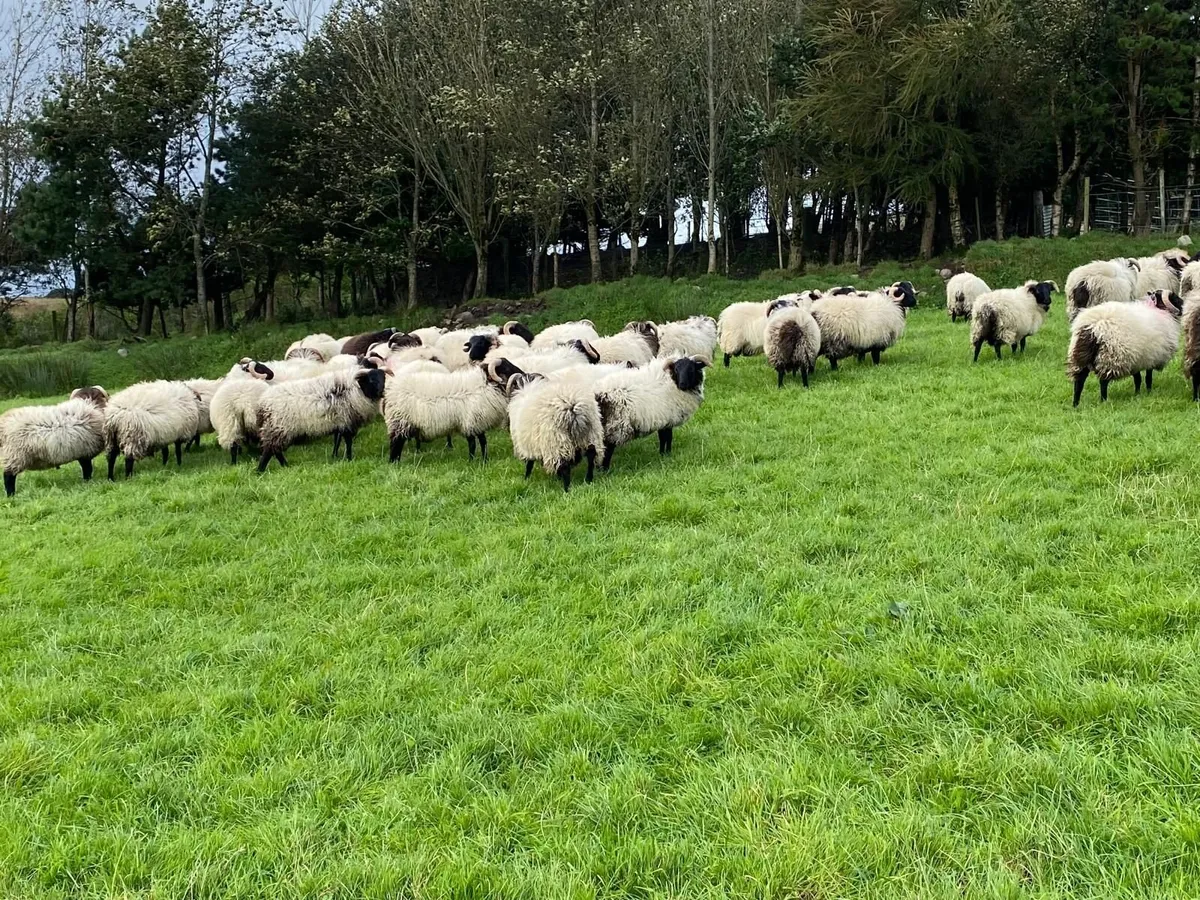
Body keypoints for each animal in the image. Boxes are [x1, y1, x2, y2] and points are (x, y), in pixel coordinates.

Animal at [255, 367, 386, 471]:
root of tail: (263, 403)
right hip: (278, 426)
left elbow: (337, 440)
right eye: (371, 380)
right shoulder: (346, 421)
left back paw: (285, 466)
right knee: (270, 450)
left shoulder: (339, 421)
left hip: (277, 428)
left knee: (275, 450)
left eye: (384, 379)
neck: (354, 390)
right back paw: (260, 470)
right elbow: (348, 442)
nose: (382, 392)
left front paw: (335, 456)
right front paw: (349, 458)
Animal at [384, 358, 524, 464]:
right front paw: (472, 461)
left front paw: (485, 460)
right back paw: (393, 462)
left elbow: (483, 442)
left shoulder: (478, 423)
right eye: (506, 368)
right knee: (395, 443)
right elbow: (473, 443)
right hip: (400, 422)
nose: (522, 373)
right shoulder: (470, 422)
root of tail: (392, 389)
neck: (485, 384)